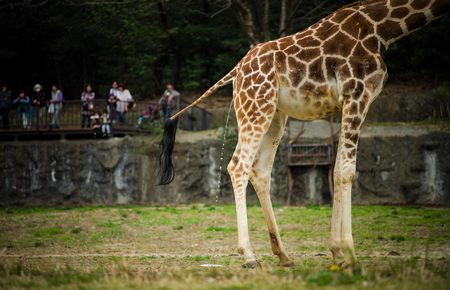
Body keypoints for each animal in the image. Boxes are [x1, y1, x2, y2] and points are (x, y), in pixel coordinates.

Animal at [159, 0, 450, 268]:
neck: (383, 28)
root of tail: (236, 71)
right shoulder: (357, 94)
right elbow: (347, 171)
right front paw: (350, 253)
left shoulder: (349, 102)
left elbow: (337, 170)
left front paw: (337, 253)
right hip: (256, 107)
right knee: (238, 165)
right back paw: (250, 256)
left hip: (275, 114)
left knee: (260, 171)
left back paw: (283, 255)